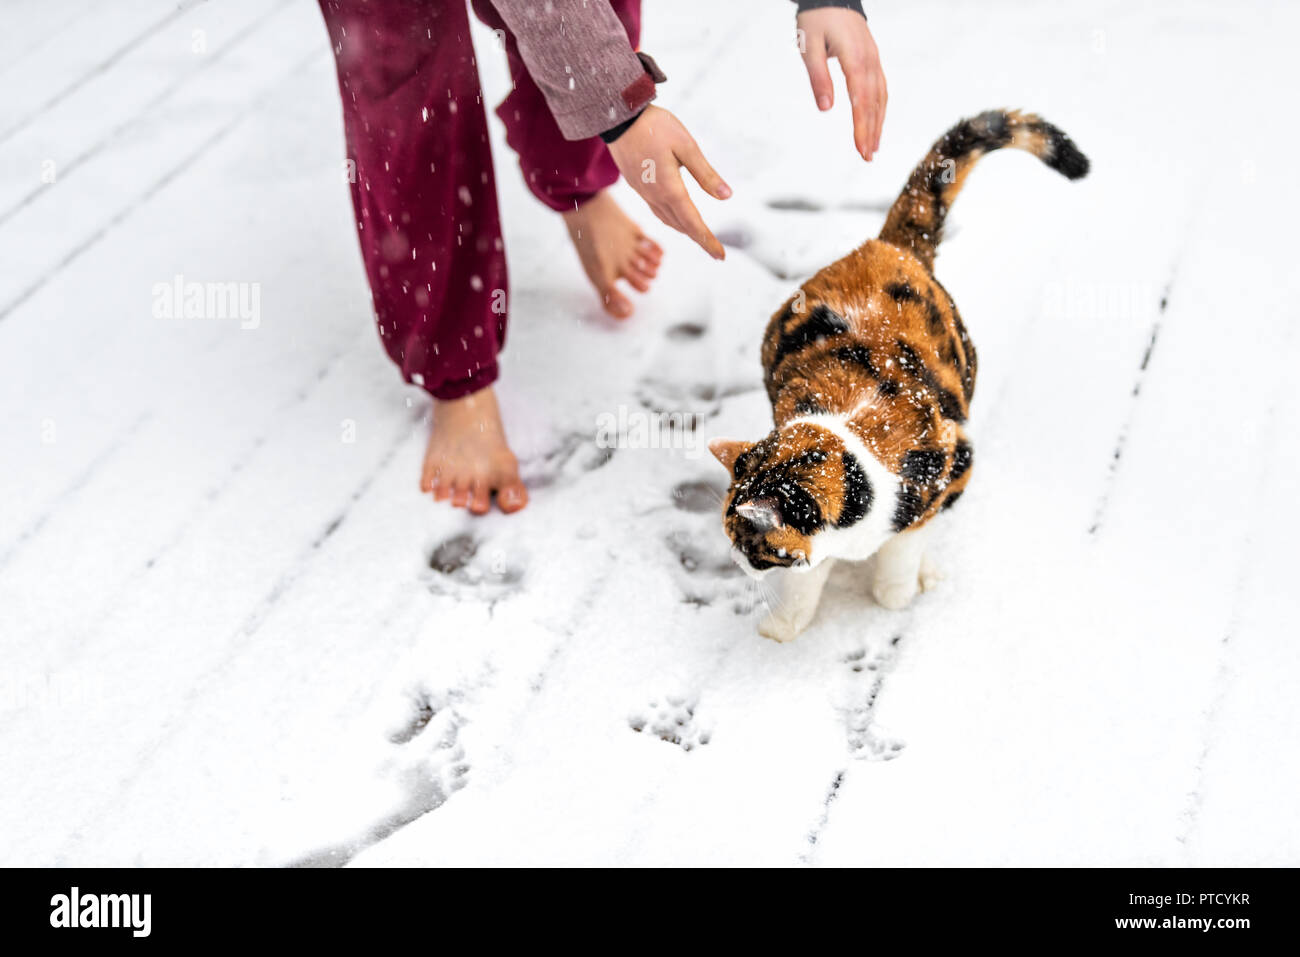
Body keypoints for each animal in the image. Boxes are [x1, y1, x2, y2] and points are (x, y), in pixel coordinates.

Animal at [712, 108, 1086, 639]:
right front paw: (784, 626)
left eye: (750, 548)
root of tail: (884, 246)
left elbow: (904, 549)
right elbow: (807, 581)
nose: (733, 559)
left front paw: (896, 592)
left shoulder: (950, 463)